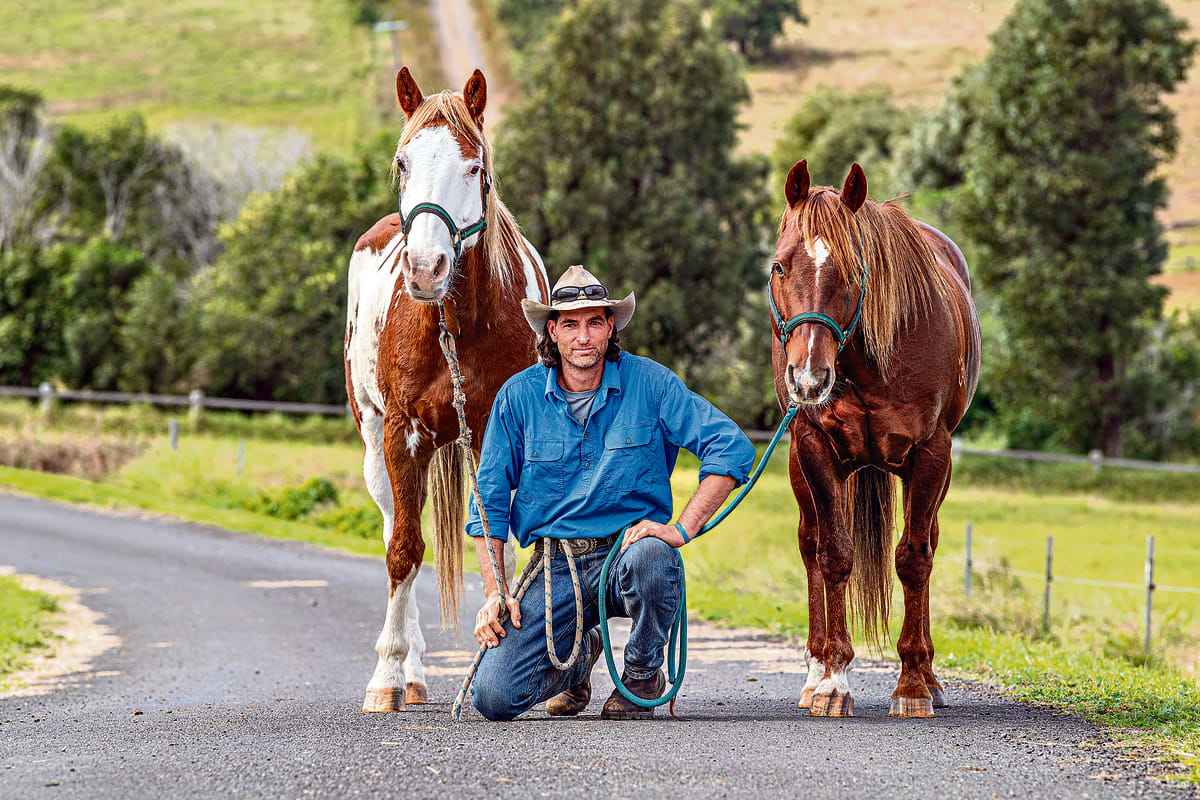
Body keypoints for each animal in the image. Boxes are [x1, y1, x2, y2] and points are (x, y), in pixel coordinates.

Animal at [343, 68, 549, 714]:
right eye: (402, 161)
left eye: (475, 167)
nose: (425, 268)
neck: (455, 324)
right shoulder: (401, 434)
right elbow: (404, 552)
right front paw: (386, 677)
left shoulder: (493, 436)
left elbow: (500, 549)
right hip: (376, 448)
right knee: (396, 534)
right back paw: (408, 671)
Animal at [772, 158, 979, 719]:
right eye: (780, 267)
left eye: (852, 271)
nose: (808, 378)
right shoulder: (814, 445)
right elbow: (833, 555)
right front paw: (832, 681)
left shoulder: (932, 454)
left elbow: (914, 558)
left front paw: (912, 683)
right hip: (801, 466)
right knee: (809, 545)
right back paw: (814, 670)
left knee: (926, 543)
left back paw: (928, 676)